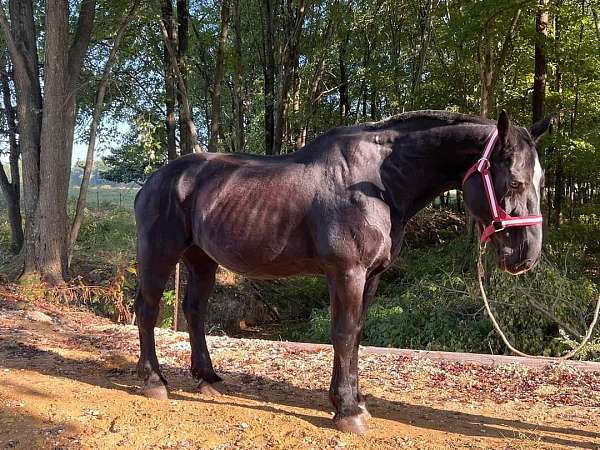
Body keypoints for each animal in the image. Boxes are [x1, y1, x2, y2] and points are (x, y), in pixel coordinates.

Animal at [134, 109, 552, 432]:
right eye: (514, 181)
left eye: (541, 180)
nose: (527, 255)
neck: (378, 183)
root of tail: (153, 181)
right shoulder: (347, 273)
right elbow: (344, 333)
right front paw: (347, 410)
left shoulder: (372, 276)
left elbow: (357, 335)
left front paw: (356, 401)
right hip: (159, 253)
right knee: (148, 309)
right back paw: (154, 380)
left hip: (201, 259)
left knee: (194, 310)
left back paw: (207, 378)